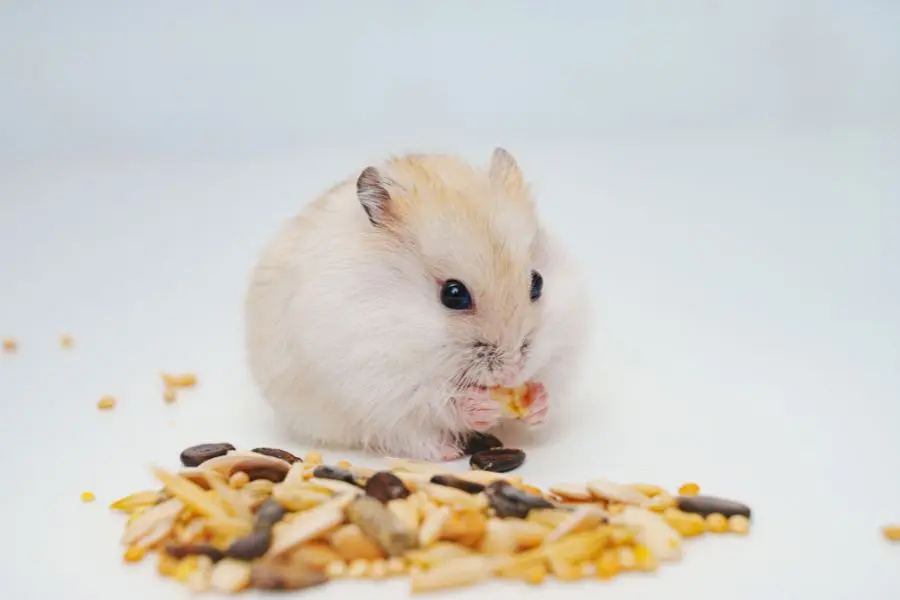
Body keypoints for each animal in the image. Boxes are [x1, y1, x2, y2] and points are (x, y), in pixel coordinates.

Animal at [244, 148, 591, 461]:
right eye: (453, 294)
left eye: (537, 283)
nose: (512, 373)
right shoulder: (379, 372)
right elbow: (434, 398)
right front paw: (481, 407)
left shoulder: (564, 346)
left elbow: (551, 379)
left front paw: (537, 400)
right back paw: (448, 452)